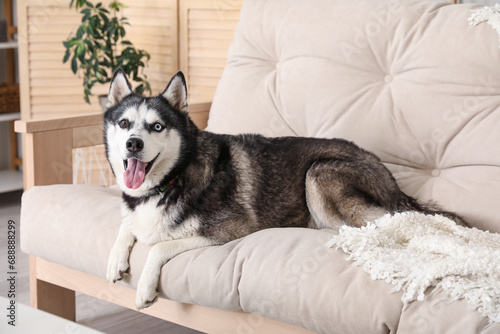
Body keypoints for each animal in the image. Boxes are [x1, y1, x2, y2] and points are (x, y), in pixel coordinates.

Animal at [103, 68, 466, 310]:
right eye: (124, 123)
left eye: (157, 126)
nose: (133, 144)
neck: (172, 178)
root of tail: (383, 168)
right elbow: (128, 225)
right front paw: (116, 259)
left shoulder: (231, 230)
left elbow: (159, 247)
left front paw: (144, 287)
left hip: (319, 175)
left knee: (395, 224)